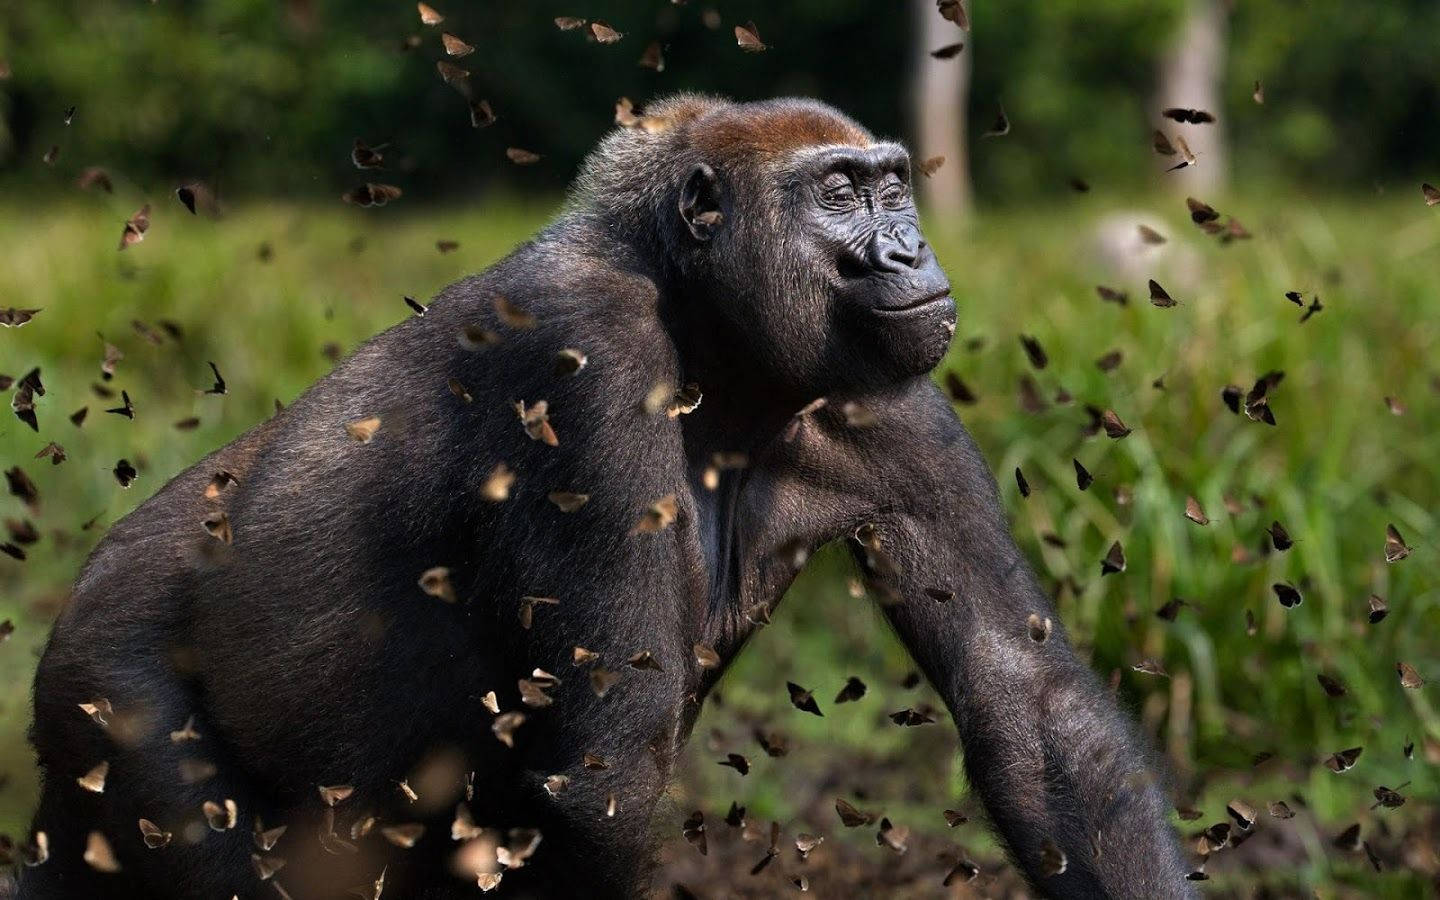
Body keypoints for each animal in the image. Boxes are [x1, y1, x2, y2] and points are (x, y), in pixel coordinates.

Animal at [19, 97, 1192, 898]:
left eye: (894, 185)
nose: (909, 249)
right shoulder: (584, 355)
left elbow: (1027, 697)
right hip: (107, 692)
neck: (699, 316)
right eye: (839, 194)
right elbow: (606, 769)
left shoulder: (892, 397)